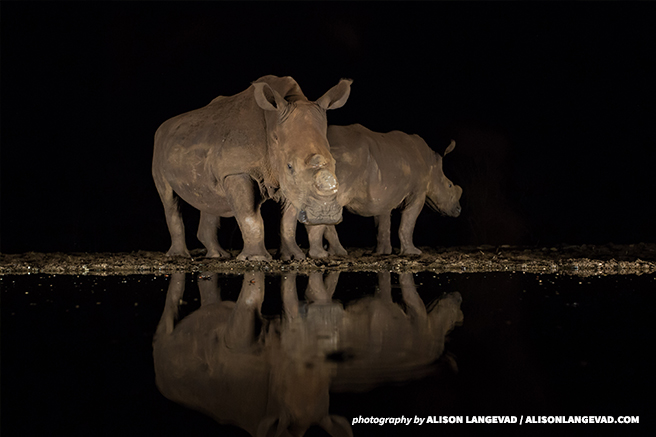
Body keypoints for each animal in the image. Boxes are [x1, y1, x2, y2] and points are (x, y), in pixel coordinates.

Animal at [152, 75, 352, 260]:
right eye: (289, 166)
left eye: (335, 163)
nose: (325, 214)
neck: (273, 125)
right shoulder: (237, 171)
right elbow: (249, 216)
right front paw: (256, 258)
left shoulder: (292, 182)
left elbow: (288, 220)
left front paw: (293, 257)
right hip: (159, 146)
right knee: (168, 198)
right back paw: (180, 256)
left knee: (208, 197)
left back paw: (217, 255)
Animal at [280, 122, 462, 258]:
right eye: (449, 186)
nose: (459, 210)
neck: (431, 165)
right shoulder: (418, 192)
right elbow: (408, 221)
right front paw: (413, 253)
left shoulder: (384, 193)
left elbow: (383, 222)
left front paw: (382, 253)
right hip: (337, 164)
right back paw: (320, 255)